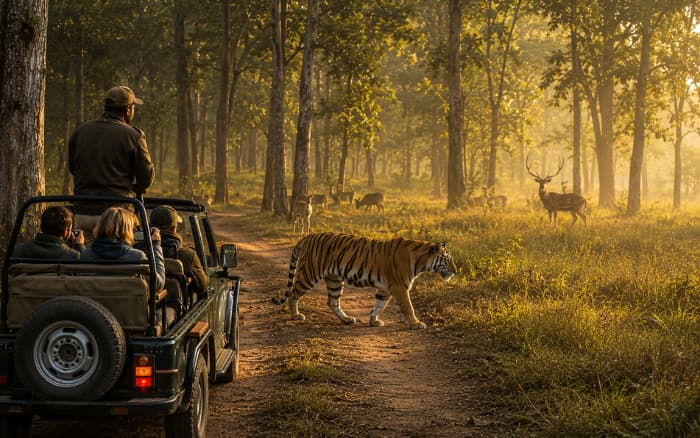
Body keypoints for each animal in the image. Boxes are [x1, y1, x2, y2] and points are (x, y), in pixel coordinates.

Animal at [272, 232, 457, 329]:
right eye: (447, 259)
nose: (456, 271)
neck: (422, 261)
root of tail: (308, 236)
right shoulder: (400, 287)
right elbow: (408, 307)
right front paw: (416, 323)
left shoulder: (385, 289)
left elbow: (379, 305)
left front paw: (374, 321)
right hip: (309, 274)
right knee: (293, 294)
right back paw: (296, 316)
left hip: (334, 280)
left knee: (332, 302)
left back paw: (347, 319)